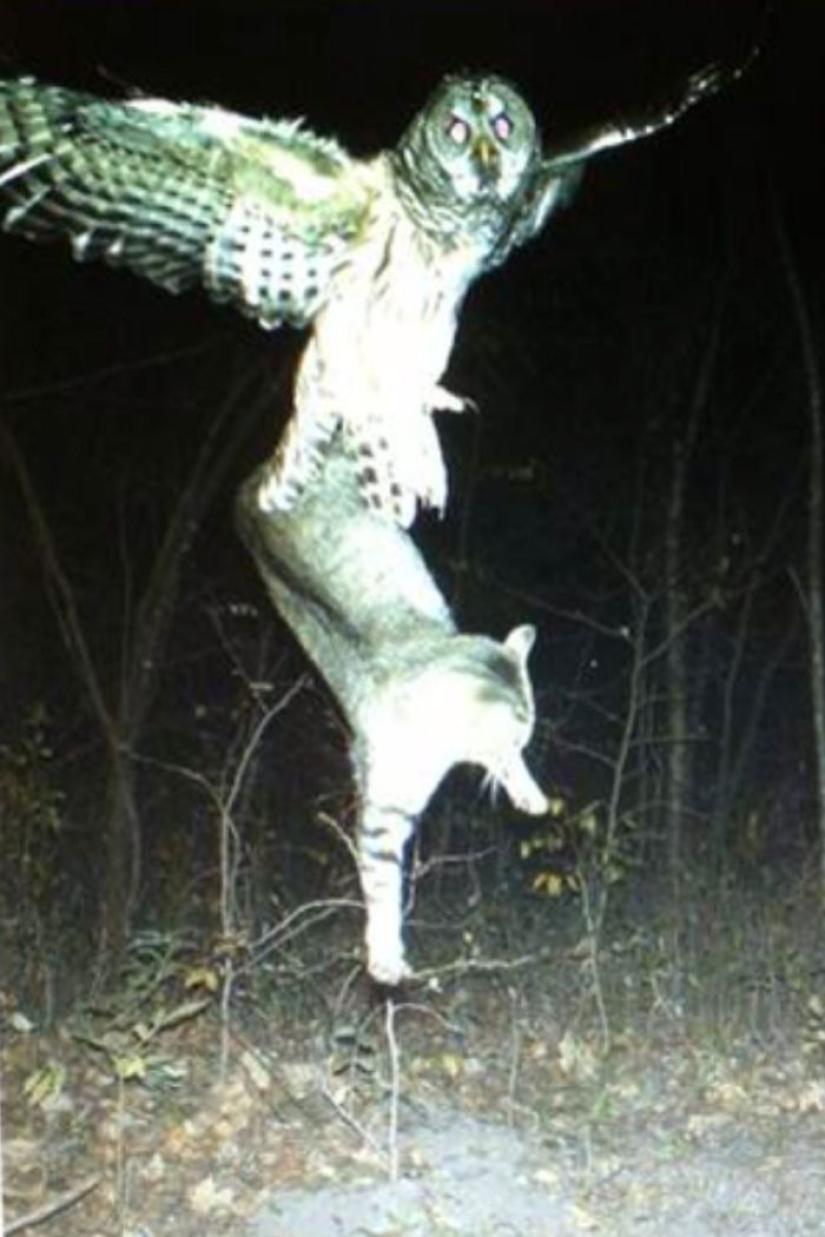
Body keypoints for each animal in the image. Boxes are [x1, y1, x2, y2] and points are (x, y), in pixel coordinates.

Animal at [237, 443, 547, 985]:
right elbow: (381, 884)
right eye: (518, 734)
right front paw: (384, 955)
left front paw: (530, 793)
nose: (526, 741)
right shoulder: (385, 808)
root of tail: (249, 490)